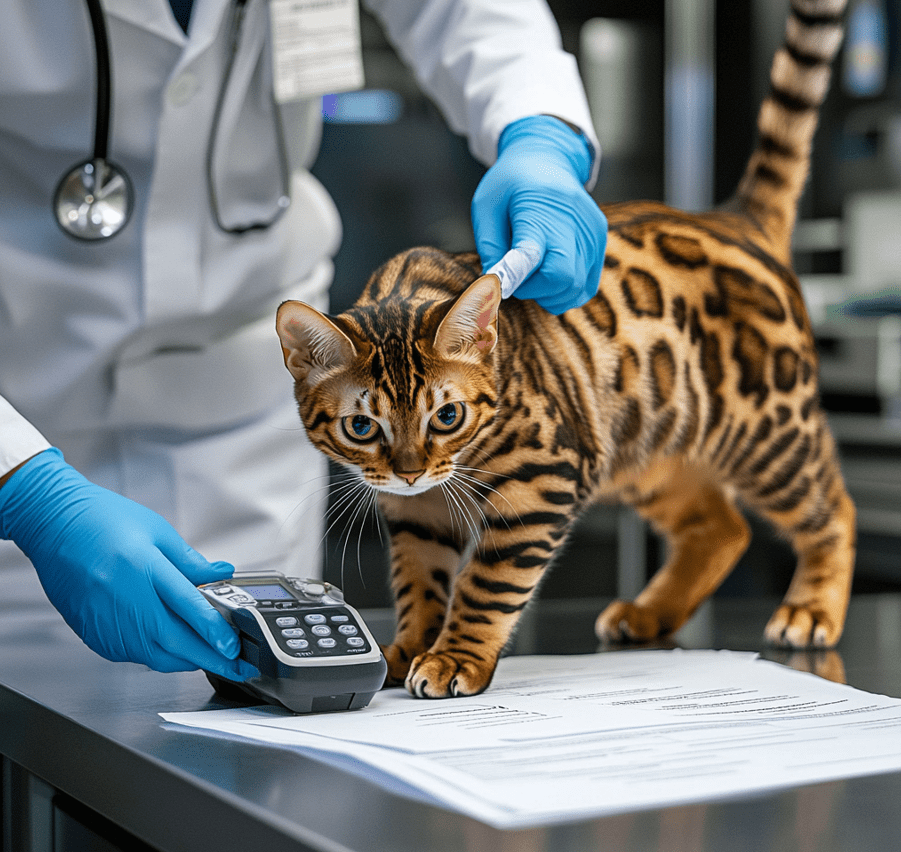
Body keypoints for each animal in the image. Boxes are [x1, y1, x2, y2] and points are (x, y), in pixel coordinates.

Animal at [278, 0, 856, 696]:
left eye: (448, 415)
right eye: (362, 427)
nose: (412, 471)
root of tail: (734, 217)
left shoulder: (540, 484)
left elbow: (486, 586)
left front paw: (453, 658)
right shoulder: (414, 514)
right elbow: (419, 582)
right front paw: (408, 645)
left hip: (769, 435)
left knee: (832, 509)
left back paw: (811, 608)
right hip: (648, 446)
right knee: (722, 527)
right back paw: (648, 612)